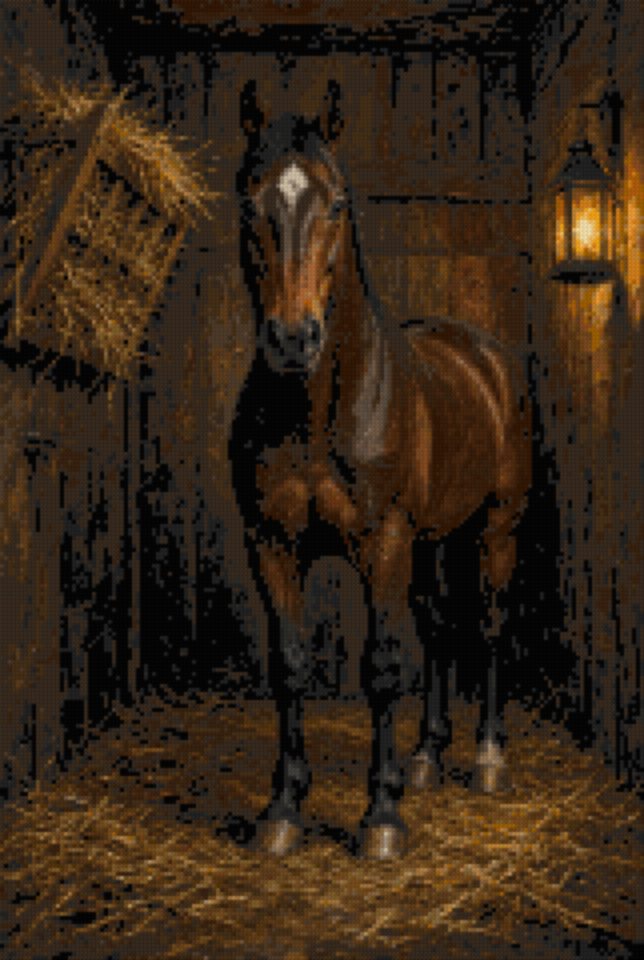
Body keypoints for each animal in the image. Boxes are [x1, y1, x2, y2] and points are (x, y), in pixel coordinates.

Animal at [229, 79, 532, 860]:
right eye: (251, 201)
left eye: (336, 203)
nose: (293, 338)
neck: (315, 410)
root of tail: (485, 357)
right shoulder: (271, 544)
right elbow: (291, 664)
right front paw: (283, 810)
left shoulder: (383, 543)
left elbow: (382, 666)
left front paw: (382, 818)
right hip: (431, 543)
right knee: (439, 627)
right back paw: (426, 758)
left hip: (495, 531)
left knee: (488, 625)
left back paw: (488, 760)